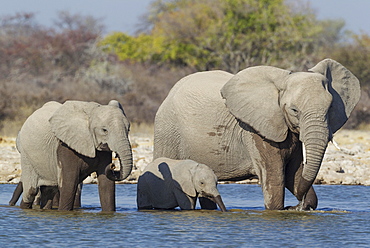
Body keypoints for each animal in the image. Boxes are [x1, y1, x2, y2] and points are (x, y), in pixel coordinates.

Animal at [154, 59, 362, 210]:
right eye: (294, 110)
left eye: (330, 108)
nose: (298, 204)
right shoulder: (255, 130)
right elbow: (276, 179)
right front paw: (282, 208)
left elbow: (293, 173)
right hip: (167, 130)